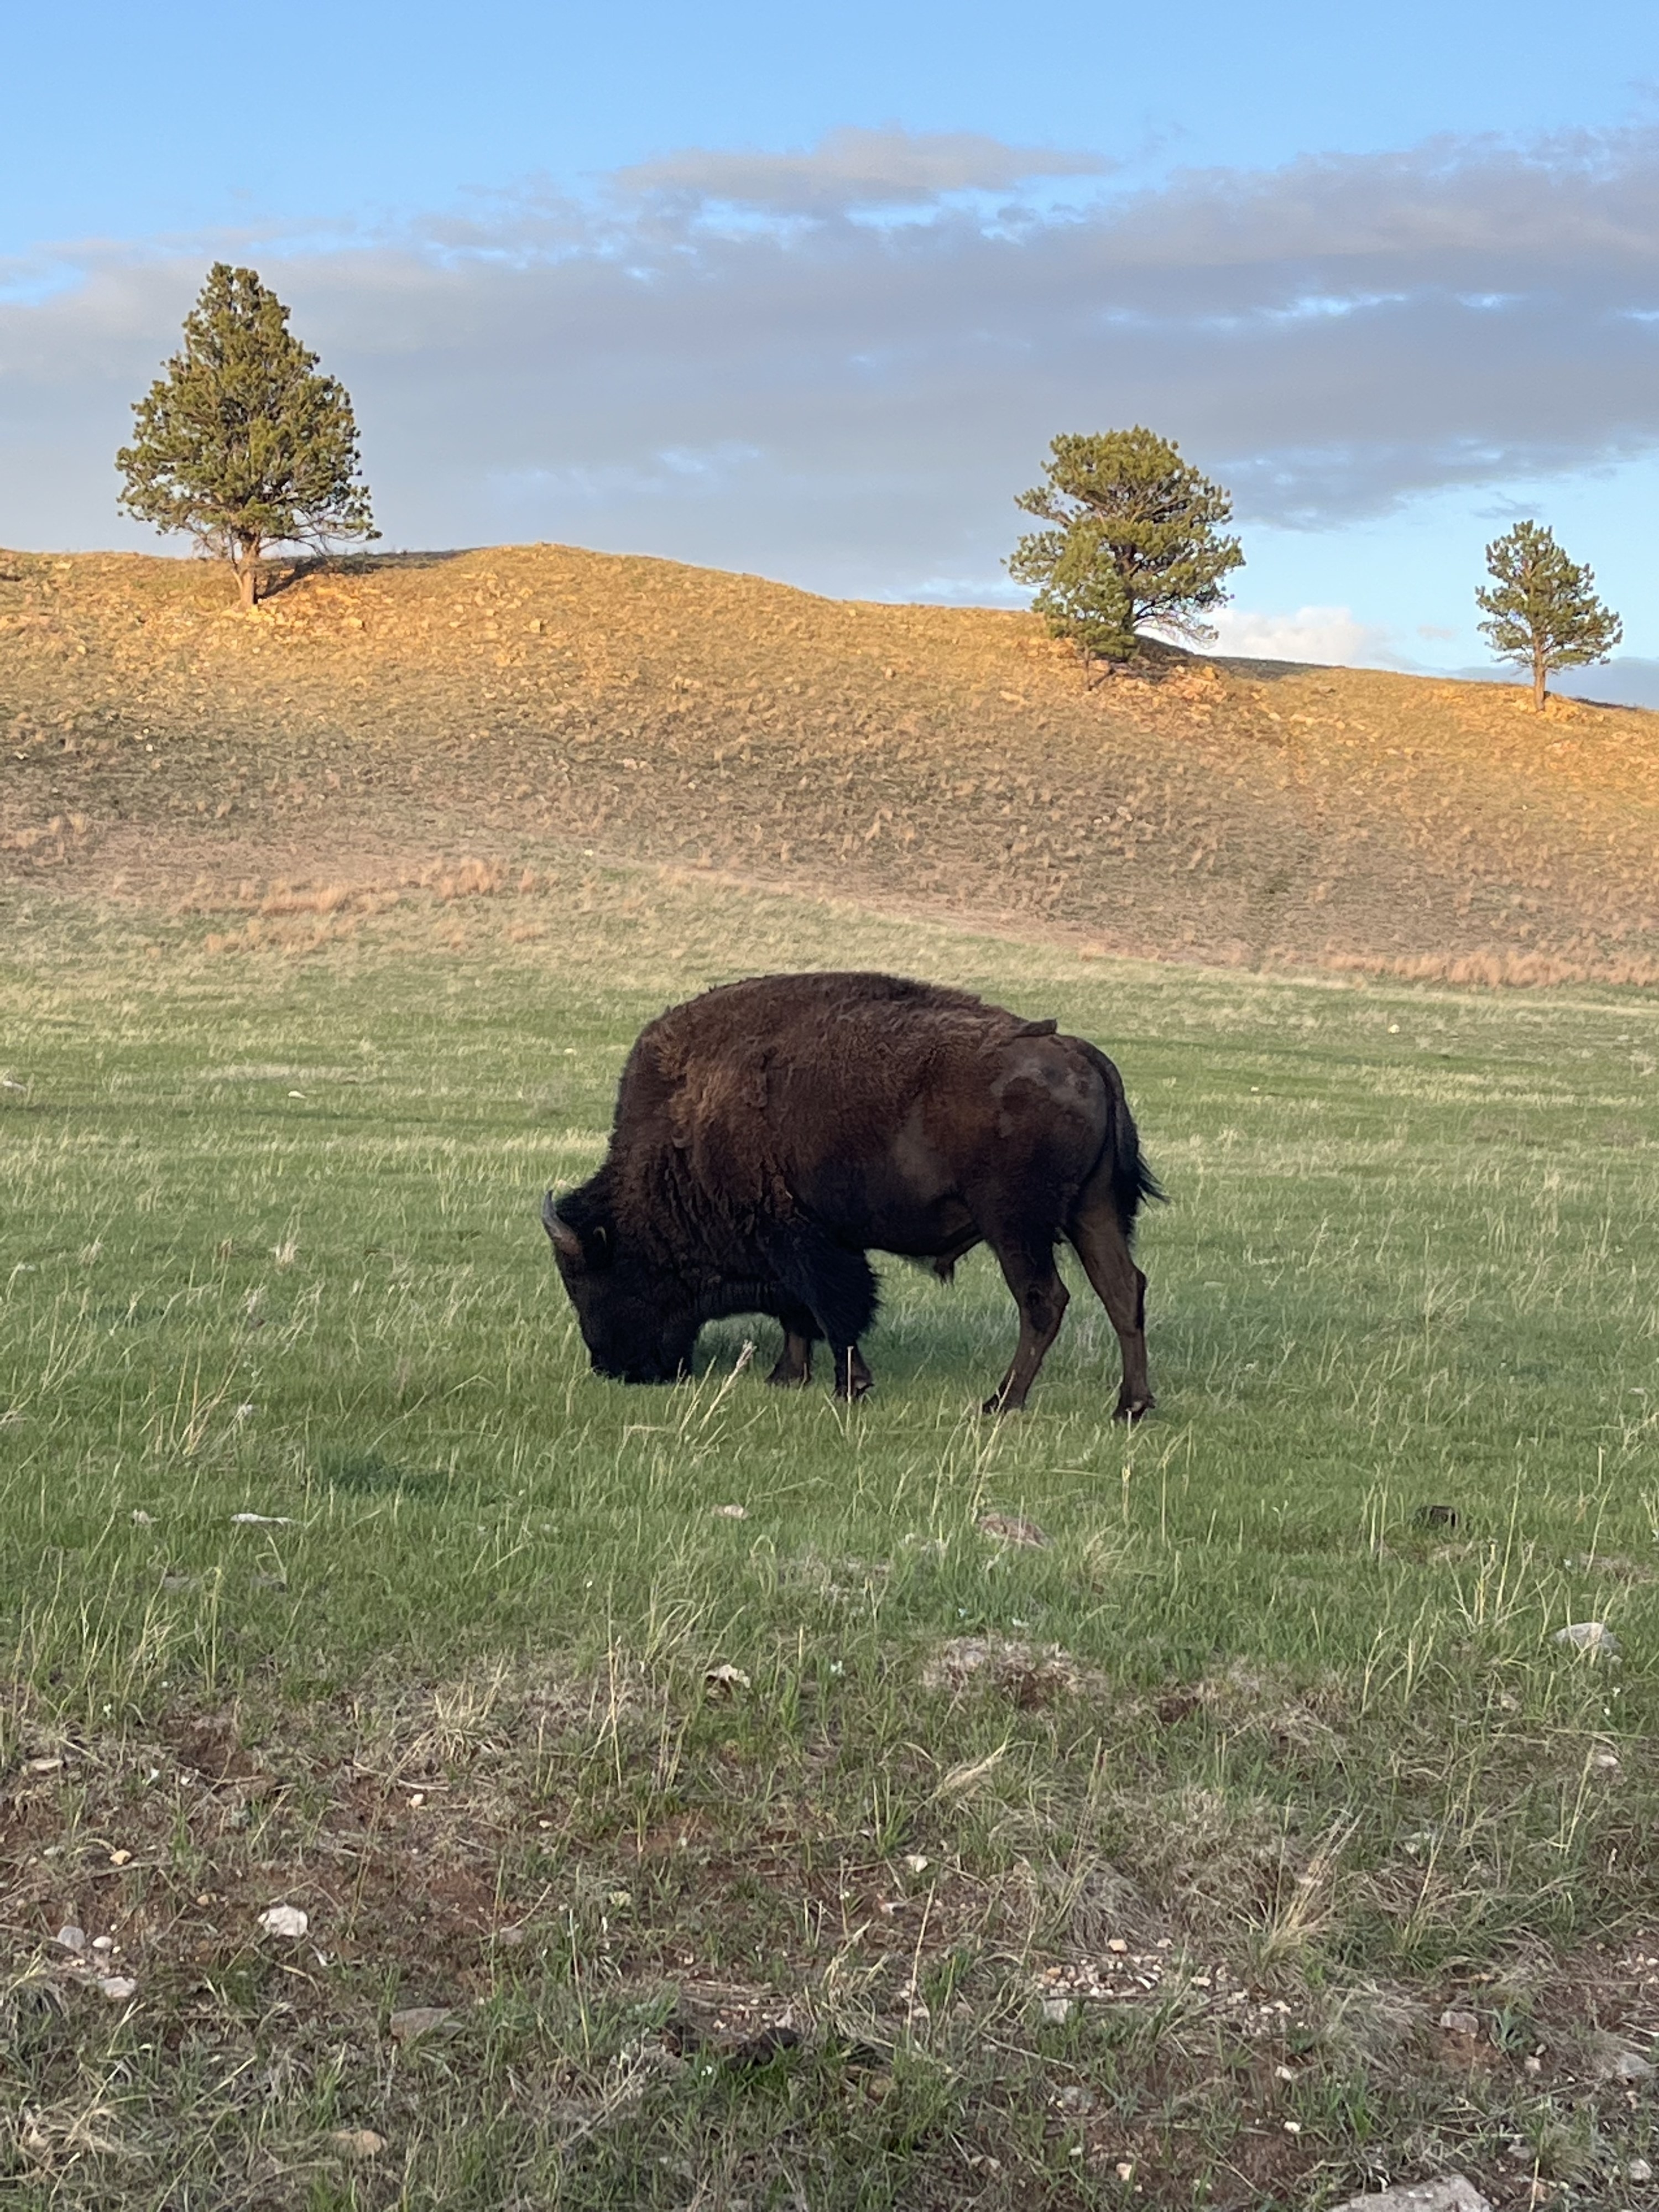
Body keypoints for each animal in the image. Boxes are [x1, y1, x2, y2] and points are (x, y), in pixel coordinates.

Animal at [542, 969, 1159, 1416]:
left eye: (597, 1277)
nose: (614, 1367)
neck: (683, 1127)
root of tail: (1078, 1052)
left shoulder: (801, 1239)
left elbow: (832, 1310)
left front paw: (849, 1387)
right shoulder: (800, 1244)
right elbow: (800, 1312)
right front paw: (787, 1377)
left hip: (1015, 1226)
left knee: (1044, 1301)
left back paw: (1002, 1402)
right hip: (1094, 1212)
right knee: (1123, 1291)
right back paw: (1129, 1406)